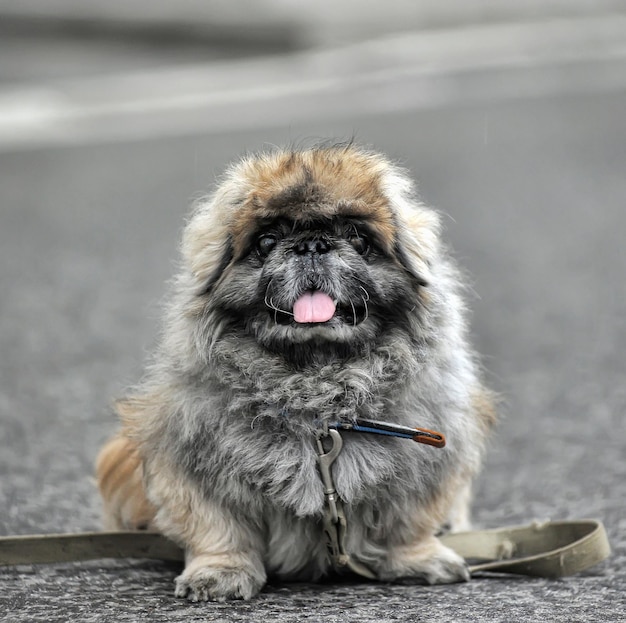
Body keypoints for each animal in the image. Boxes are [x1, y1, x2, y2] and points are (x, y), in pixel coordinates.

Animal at [96, 141, 492, 600]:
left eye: (358, 238)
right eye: (267, 241)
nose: (311, 245)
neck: (317, 391)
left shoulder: (424, 467)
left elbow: (407, 523)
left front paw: (419, 559)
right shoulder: (192, 462)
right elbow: (218, 529)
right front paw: (219, 572)